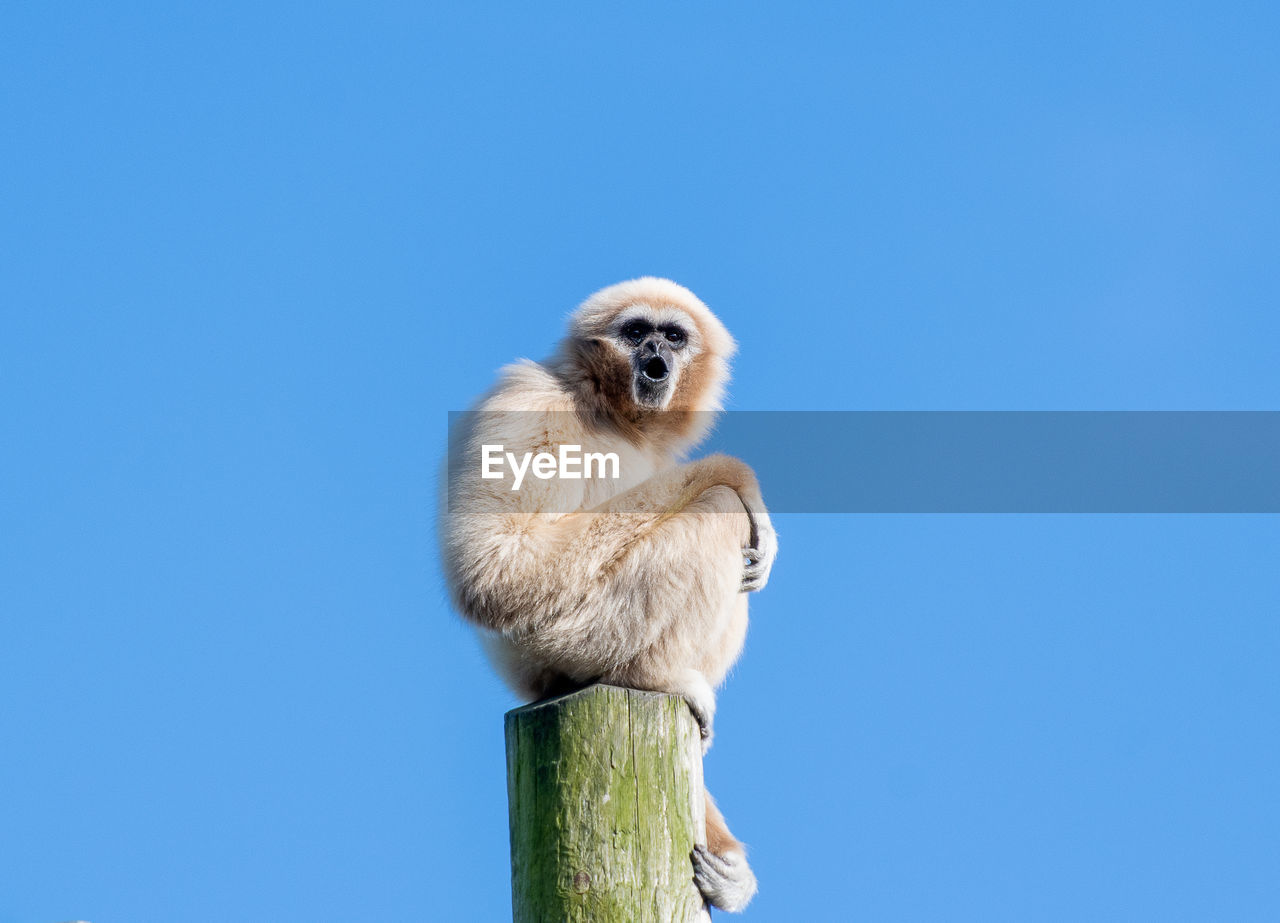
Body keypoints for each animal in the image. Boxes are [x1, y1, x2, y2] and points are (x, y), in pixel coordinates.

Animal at [445, 277, 773, 911]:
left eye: (674, 336)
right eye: (636, 330)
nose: (656, 352)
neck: (603, 406)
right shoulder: (528, 401)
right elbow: (497, 568)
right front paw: (738, 474)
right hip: (575, 633)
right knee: (719, 510)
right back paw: (658, 676)